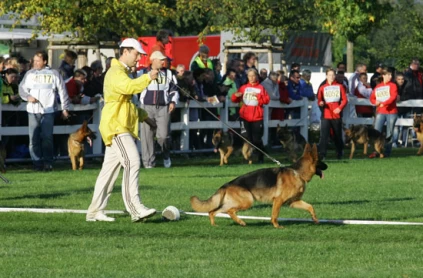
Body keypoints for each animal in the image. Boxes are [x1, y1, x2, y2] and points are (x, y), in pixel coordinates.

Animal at [191, 143, 328, 228]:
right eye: (321, 160)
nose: (327, 166)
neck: (298, 172)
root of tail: (226, 185)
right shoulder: (278, 201)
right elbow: (274, 215)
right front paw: (277, 226)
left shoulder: (293, 202)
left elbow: (310, 207)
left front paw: (315, 219)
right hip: (247, 201)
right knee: (229, 211)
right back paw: (241, 222)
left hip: (232, 203)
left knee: (213, 211)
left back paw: (216, 224)